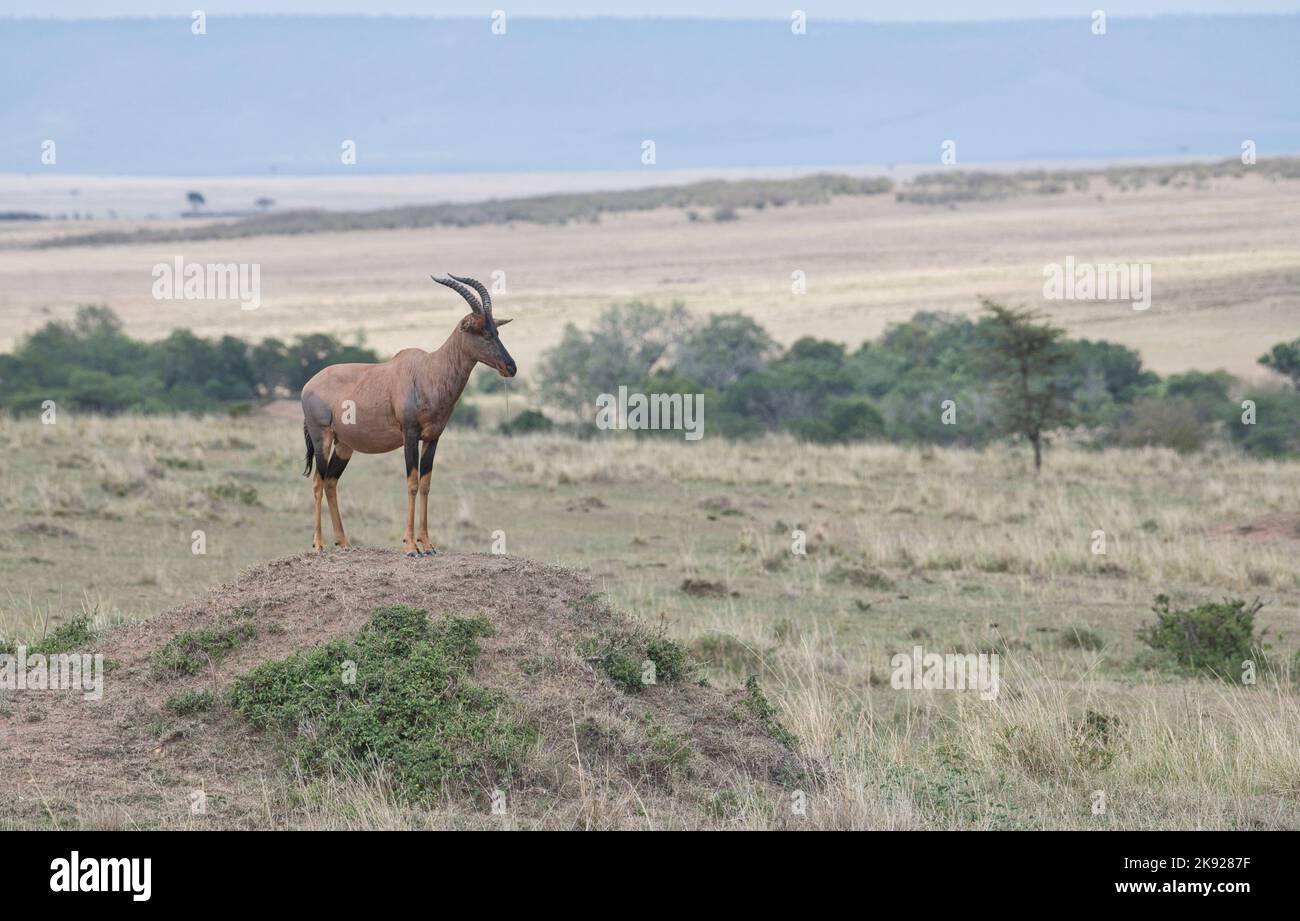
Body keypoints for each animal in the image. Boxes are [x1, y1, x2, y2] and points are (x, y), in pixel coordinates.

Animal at [299, 275, 512, 554]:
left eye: (497, 330)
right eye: (483, 332)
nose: (511, 367)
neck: (429, 370)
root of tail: (308, 385)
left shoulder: (433, 438)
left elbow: (425, 484)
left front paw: (428, 545)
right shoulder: (409, 435)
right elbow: (411, 483)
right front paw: (411, 546)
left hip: (344, 445)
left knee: (331, 482)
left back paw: (343, 542)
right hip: (321, 437)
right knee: (317, 481)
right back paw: (319, 544)